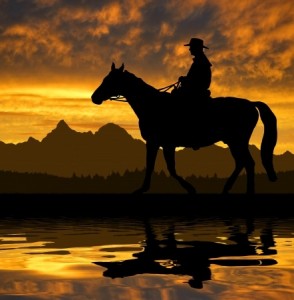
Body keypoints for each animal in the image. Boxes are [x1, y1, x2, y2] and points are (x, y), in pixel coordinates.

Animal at [90, 63, 276, 195]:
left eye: (110, 80)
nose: (94, 97)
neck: (152, 105)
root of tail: (251, 104)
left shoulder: (156, 142)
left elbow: (158, 167)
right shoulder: (165, 144)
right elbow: (167, 168)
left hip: (238, 141)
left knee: (248, 163)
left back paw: (248, 191)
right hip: (232, 141)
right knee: (241, 163)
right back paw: (226, 189)